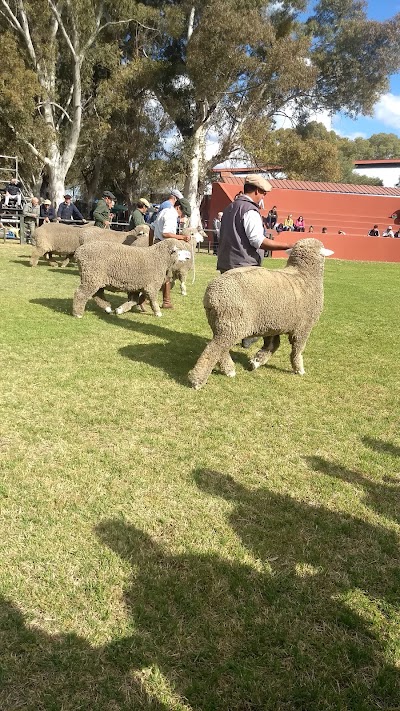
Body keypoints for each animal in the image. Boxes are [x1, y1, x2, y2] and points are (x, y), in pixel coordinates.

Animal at [188, 242, 334, 392]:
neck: (304, 273)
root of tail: (211, 295)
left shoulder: (272, 325)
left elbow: (272, 345)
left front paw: (256, 361)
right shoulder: (304, 327)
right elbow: (297, 350)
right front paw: (299, 369)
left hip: (222, 324)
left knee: (220, 349)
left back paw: (229, 370)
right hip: (232, 323)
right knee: (213, 350)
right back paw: (197, 381)